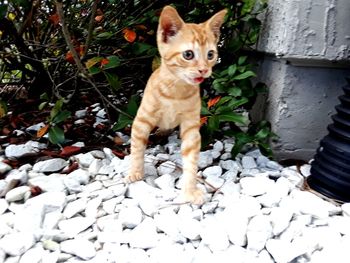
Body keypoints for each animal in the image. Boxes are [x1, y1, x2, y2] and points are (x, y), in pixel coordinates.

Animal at [126, 5, 227, 205]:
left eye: (210, 54)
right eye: (188, 54)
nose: (204, 70)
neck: (176, 92)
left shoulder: (191, 126)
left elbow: (191, 159)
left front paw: (190, 190)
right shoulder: (142, 120)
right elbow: (137, 148)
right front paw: (135, 171)